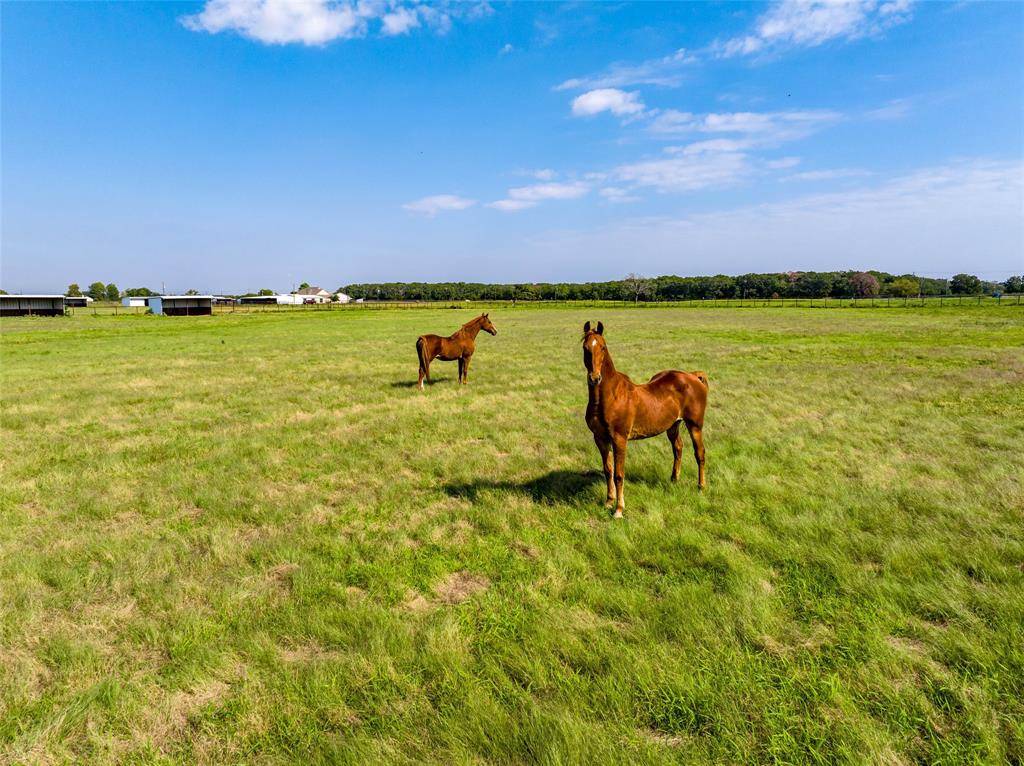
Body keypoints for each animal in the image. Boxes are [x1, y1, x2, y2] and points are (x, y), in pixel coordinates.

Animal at [581, 319, 708, 518]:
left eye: (603, 347)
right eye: (585, 347)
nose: (595, 378)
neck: (609, 396)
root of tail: (693, 376)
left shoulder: (619, 439)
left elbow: (619, 474)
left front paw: (619, 510)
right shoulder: (600, 438)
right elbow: (608, 470)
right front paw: (608, 502)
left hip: (695, 425)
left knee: (699, 453)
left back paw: (701, 486)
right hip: (673, 425)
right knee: (678, 448)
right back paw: (674, 479)